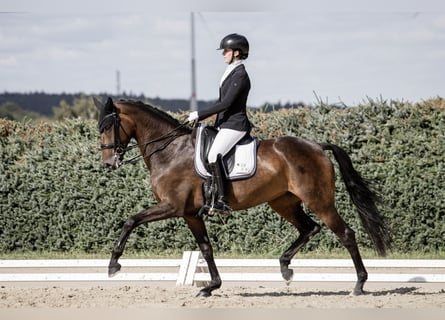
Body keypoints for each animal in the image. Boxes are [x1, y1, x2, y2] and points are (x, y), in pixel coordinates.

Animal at [93, 97, 388, 298]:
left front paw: (113, 265)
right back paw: (285, 268)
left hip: (319, 201)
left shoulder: (172, 206)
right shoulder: (189, 213)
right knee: (309, 228)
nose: (108, 163)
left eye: (108, 126)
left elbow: (131, 220)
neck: (170, 151)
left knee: (345, 233)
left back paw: (359, 284)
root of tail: (317, 146)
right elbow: (206, 248)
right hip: (283, 201)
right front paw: (210, 287)